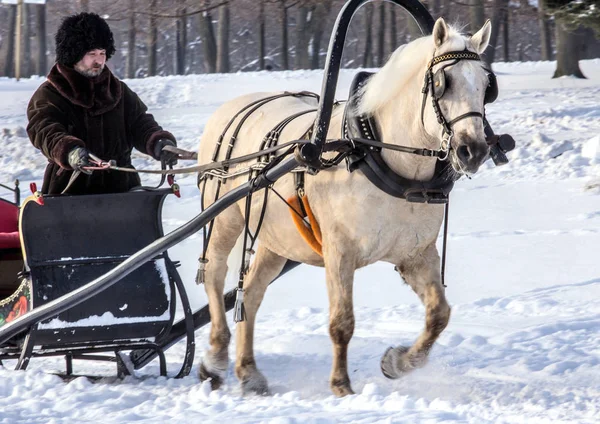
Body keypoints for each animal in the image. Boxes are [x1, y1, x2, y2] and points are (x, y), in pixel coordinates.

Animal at [197, 18, 492, 396]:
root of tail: (228, 109)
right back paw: (215, 359)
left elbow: (439, 314)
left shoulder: (416, 254)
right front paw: (342, 386)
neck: (374, 151)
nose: (474, 150)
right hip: (224, 217)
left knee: (250, 293)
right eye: (444, 83)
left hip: (275, 239)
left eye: (486, 85)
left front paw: (398, 362)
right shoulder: (340, 251)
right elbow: (342, 323)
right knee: (216, 275)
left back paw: (249, 373)